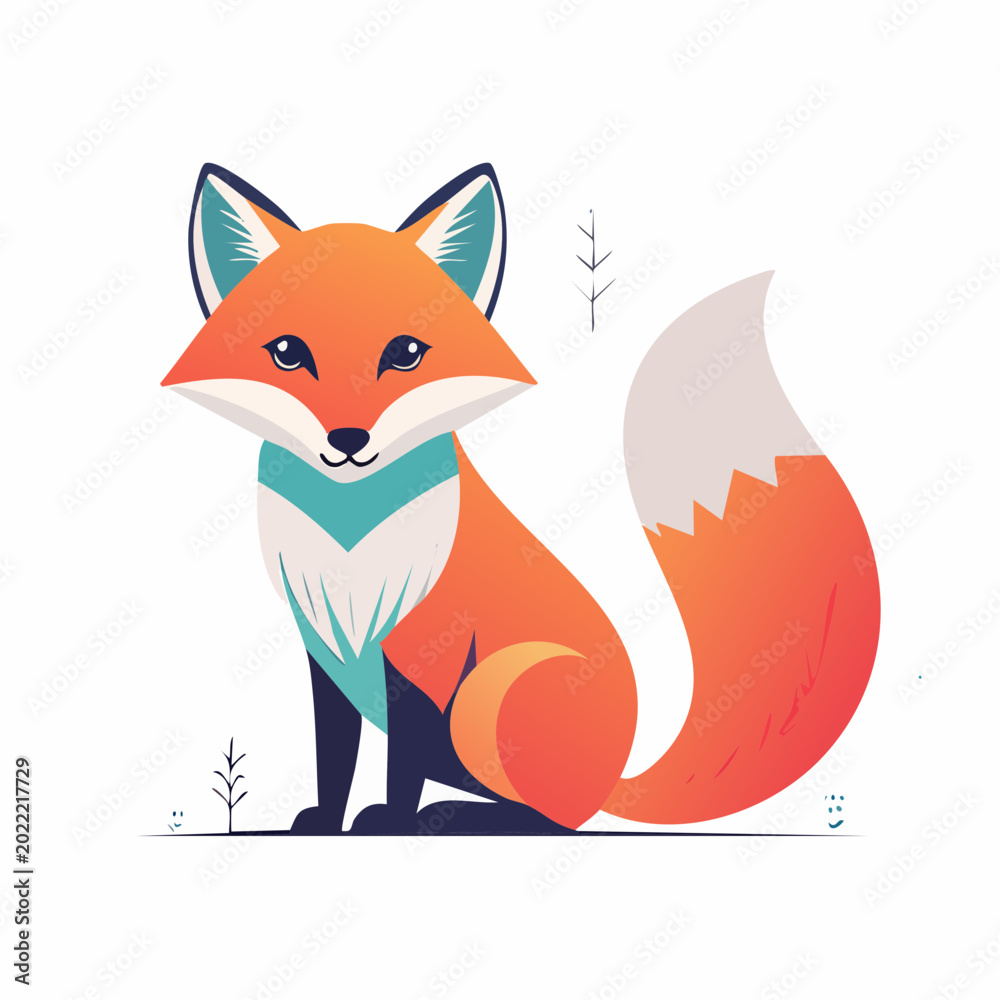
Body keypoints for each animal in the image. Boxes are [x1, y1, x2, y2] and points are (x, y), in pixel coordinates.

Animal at [163, 162, 880, 835]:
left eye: (405, 353)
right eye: (287, 352)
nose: (347, 439)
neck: (349, 530)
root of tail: (620, 773)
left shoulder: (427, 650)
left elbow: (402, 762)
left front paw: (391, 819)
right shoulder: (322, 647)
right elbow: (332, 754)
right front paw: (328, 820)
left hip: (490, 692)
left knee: (555, 819)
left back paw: (454, 818)